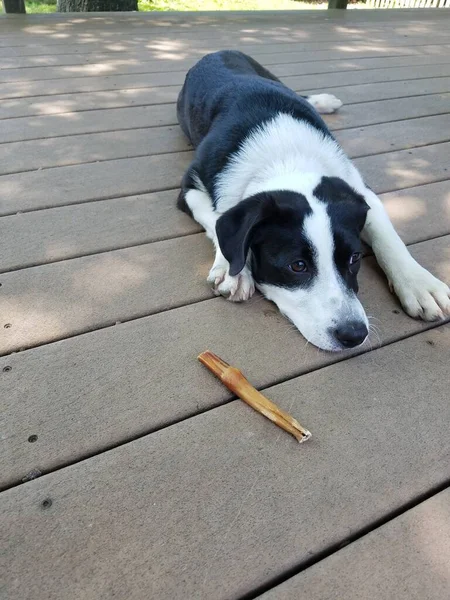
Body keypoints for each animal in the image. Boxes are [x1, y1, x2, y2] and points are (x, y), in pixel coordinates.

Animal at [177, 52, 450, 352]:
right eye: (297, 266)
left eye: (355, 257)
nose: (354, 335)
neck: (286, 157)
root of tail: (219, 52)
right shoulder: (189, 187)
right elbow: (217, 219)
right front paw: (232, 269)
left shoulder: (359, 189)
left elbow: (388, 238)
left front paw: (419, 284)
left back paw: (323, 101)